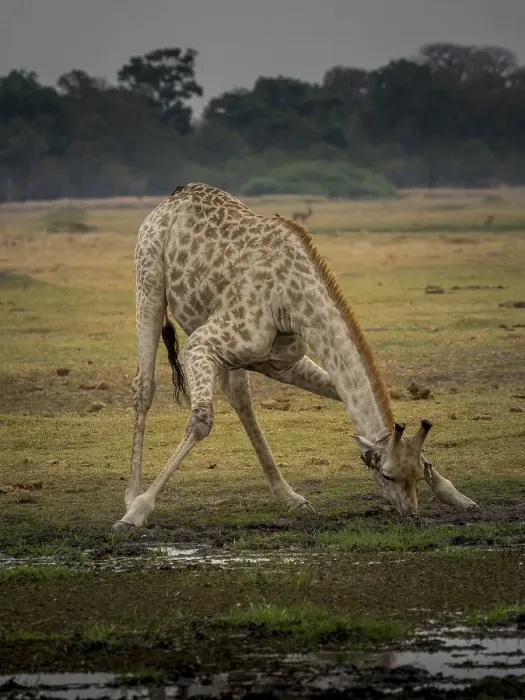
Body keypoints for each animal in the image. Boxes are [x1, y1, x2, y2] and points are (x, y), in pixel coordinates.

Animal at [113, 183, 477, 531]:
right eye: (387, 474)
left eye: (418, 472)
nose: (411, 514)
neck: (290, 299)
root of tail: (176, 196)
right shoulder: (201, 345)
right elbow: (202, 421)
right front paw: (138, 511)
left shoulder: (279, 362)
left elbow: (337, 391)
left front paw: (458, 496)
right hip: (149, 281)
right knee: (144, 386)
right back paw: (131, 495)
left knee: (239, 397)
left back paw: (290, 497)